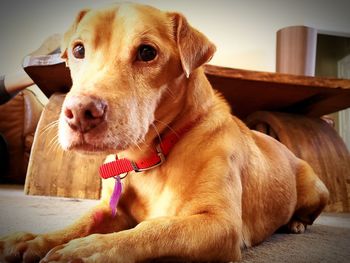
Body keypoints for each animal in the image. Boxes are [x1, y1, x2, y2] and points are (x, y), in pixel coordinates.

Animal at [0, 2, 328, 263]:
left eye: (147, 52)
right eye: (78, 50)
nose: (79, 113)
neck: (149, 155)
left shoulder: (219, 225)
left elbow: (154, 230)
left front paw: (85, 250)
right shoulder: (111, 210)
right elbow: (81, 222)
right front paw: (33, 240)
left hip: (316, 187)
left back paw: (296, 223)